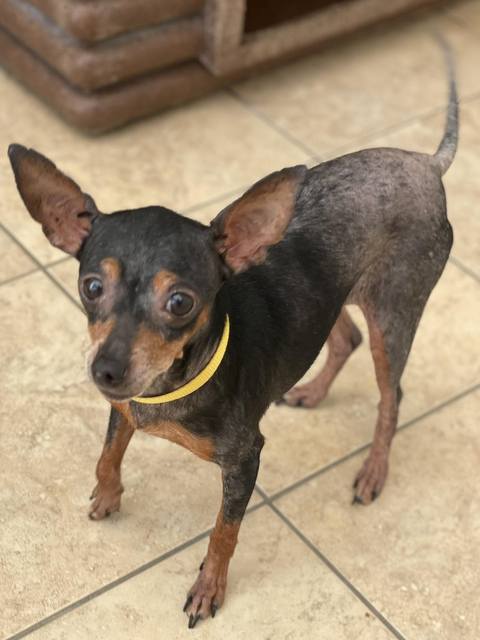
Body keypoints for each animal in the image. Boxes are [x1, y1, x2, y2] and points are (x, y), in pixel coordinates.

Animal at [8, 48, 457, 628]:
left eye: (180, 302)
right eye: (91, 286)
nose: (105, 370)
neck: (171, 385)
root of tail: (427, 163)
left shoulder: (246, 459)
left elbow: (225, 530)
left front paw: (209, 589)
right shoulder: (123, 407)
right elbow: (106, 455)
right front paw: (107, 496)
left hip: (396, 310)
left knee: (391, 393)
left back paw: (373, 471)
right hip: (330, 296)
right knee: (346, 338)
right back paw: (312, 391)